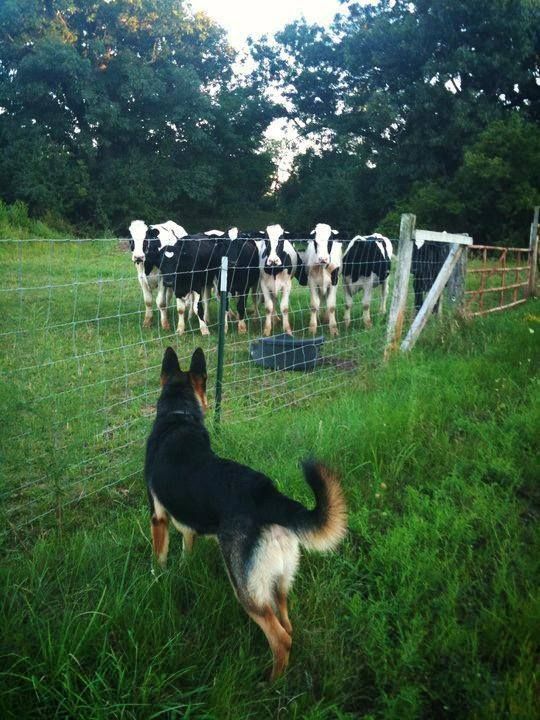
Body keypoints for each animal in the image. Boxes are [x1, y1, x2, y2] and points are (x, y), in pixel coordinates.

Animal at [144, 346, 346, 684]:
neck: (178, 416)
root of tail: (270, 498)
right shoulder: (188, 524)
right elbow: (187, 547)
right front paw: (184, 569)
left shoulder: (158, 517)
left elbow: (158, 559)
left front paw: (157, 579)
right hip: (277, 582)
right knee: (288, 625)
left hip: (246, 590)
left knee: (280, 638)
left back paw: (271, 684)